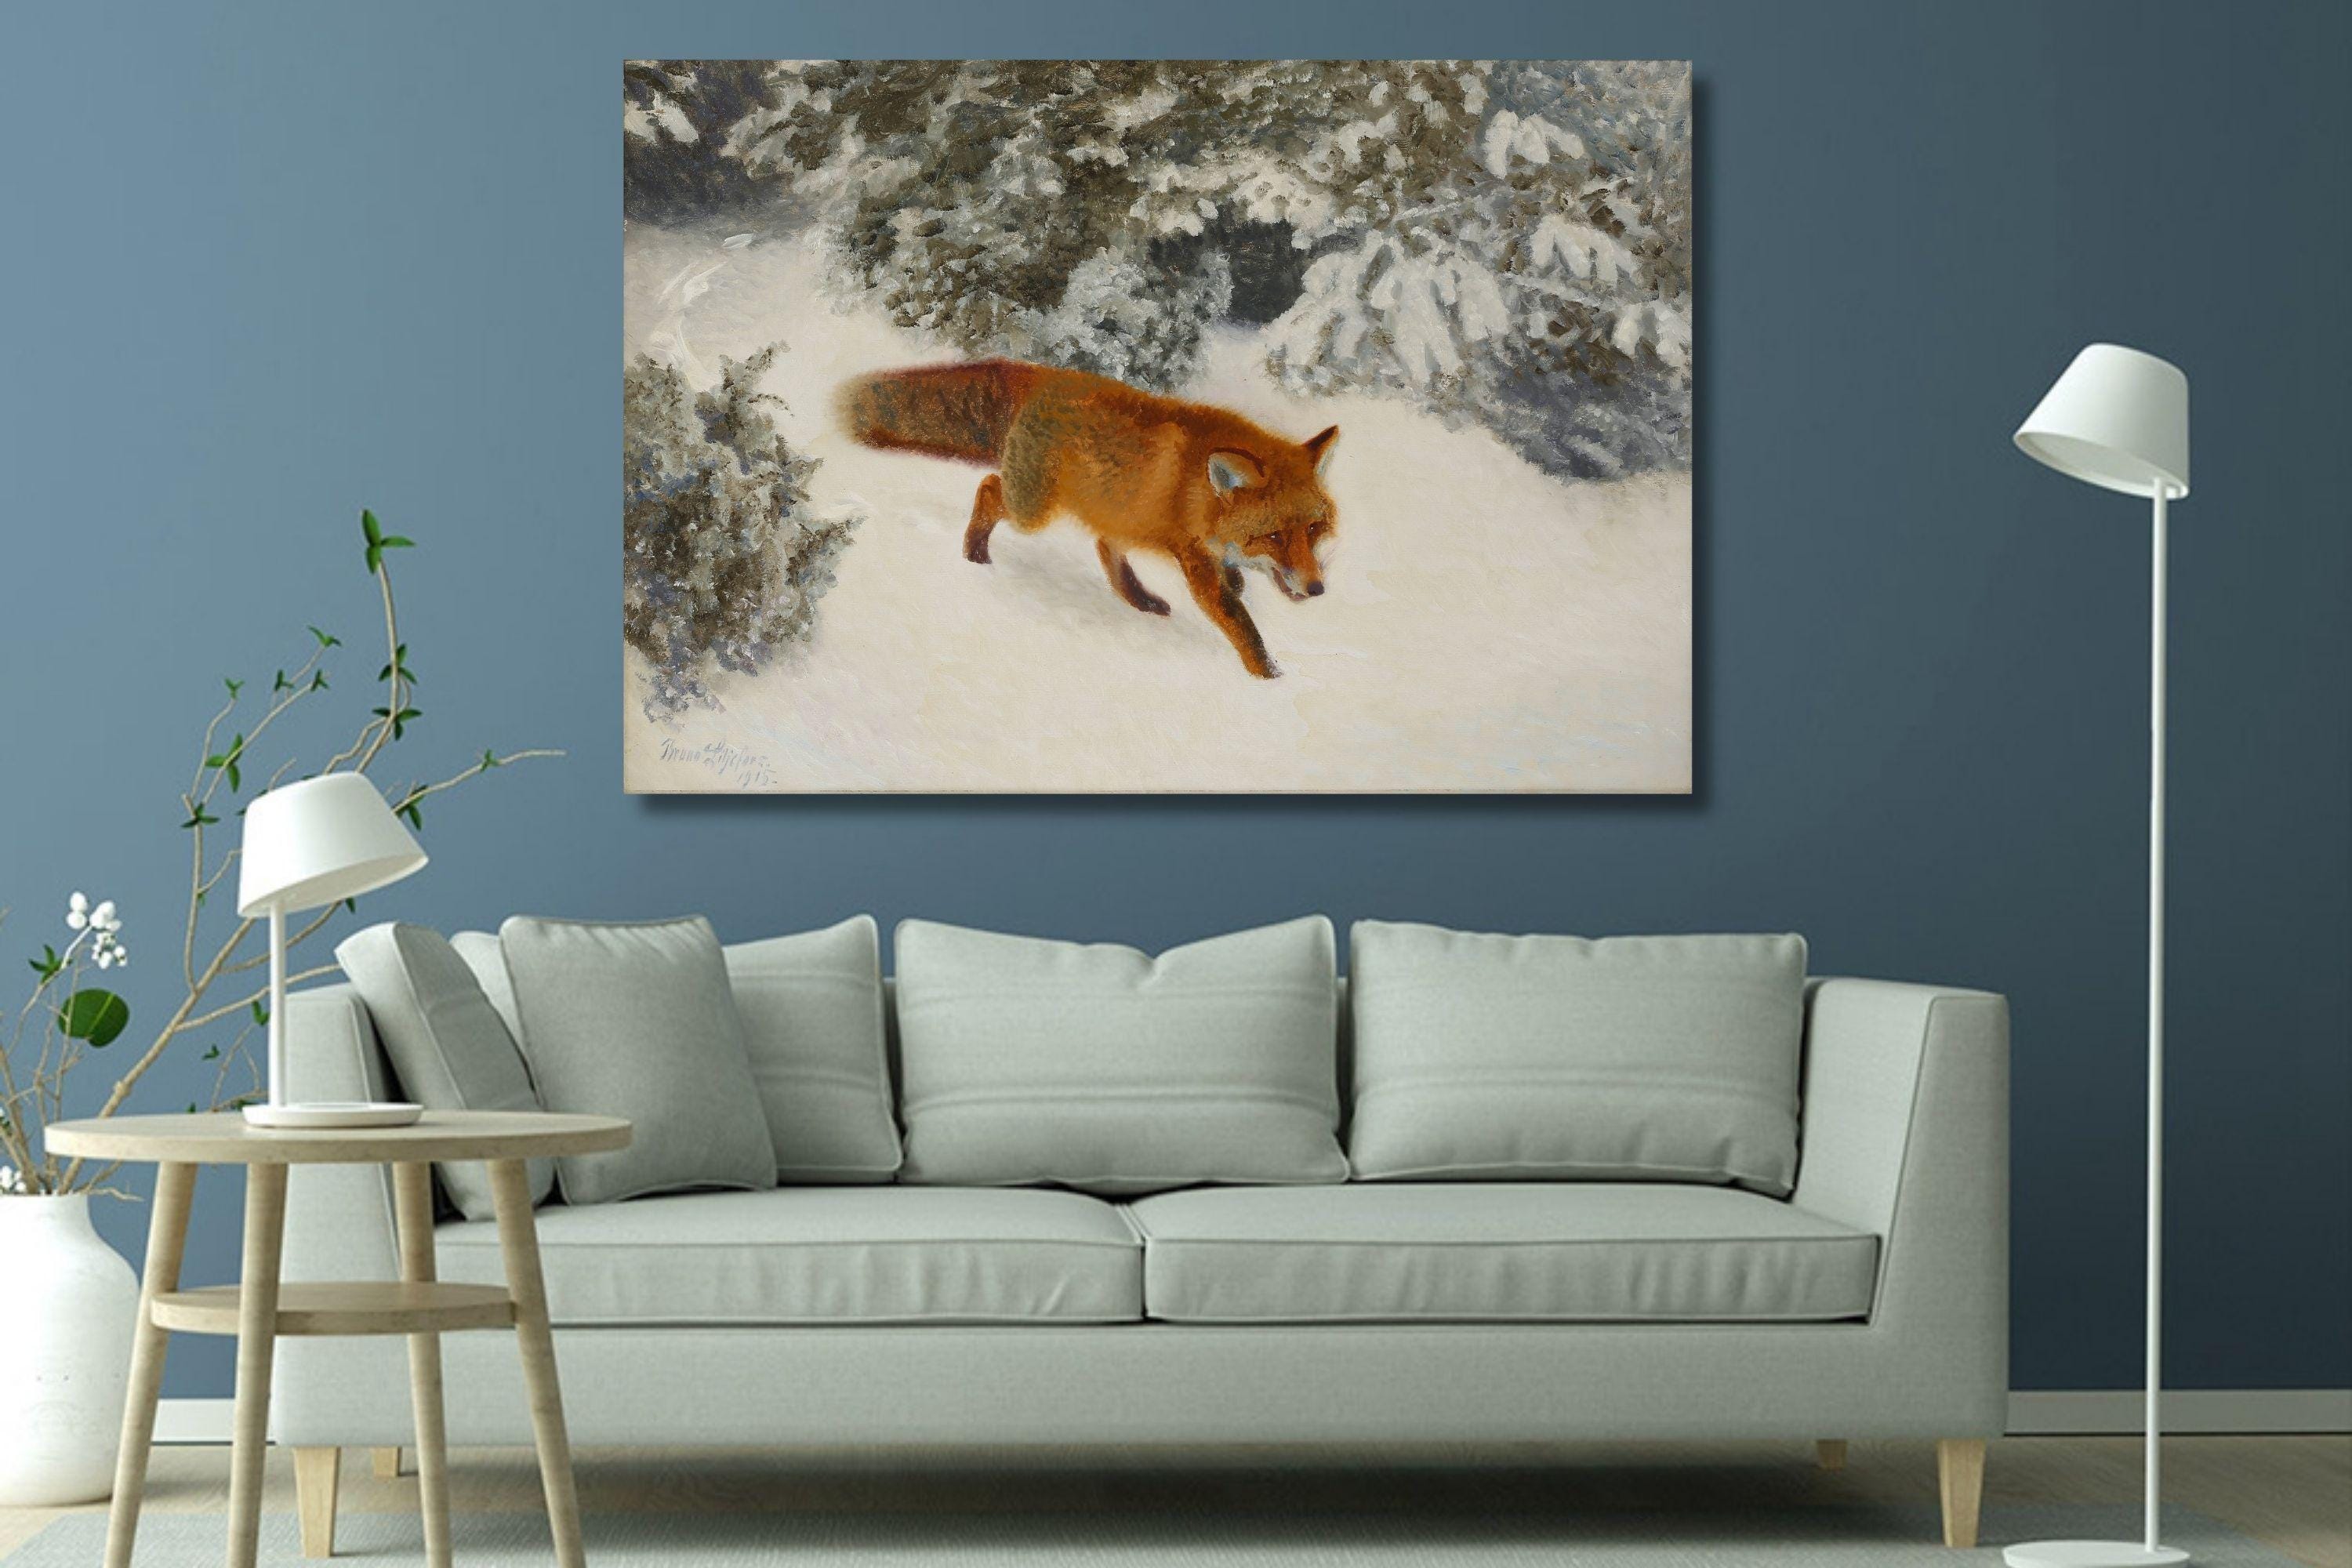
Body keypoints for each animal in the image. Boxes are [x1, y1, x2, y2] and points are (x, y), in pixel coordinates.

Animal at [837, 359, 1338, 679]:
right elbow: (1242, 627)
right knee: (989, 488)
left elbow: (1235, 582)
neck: (1200, 493)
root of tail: (1048, 376)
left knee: (1104, 546)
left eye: (1313, 529)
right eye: (1273, 535)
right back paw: (975, 553)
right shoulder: (1195, 560)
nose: (1317, 589)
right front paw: (1270, 680)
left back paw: (1141, 601)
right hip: (1033, 510)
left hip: (1117, 509)